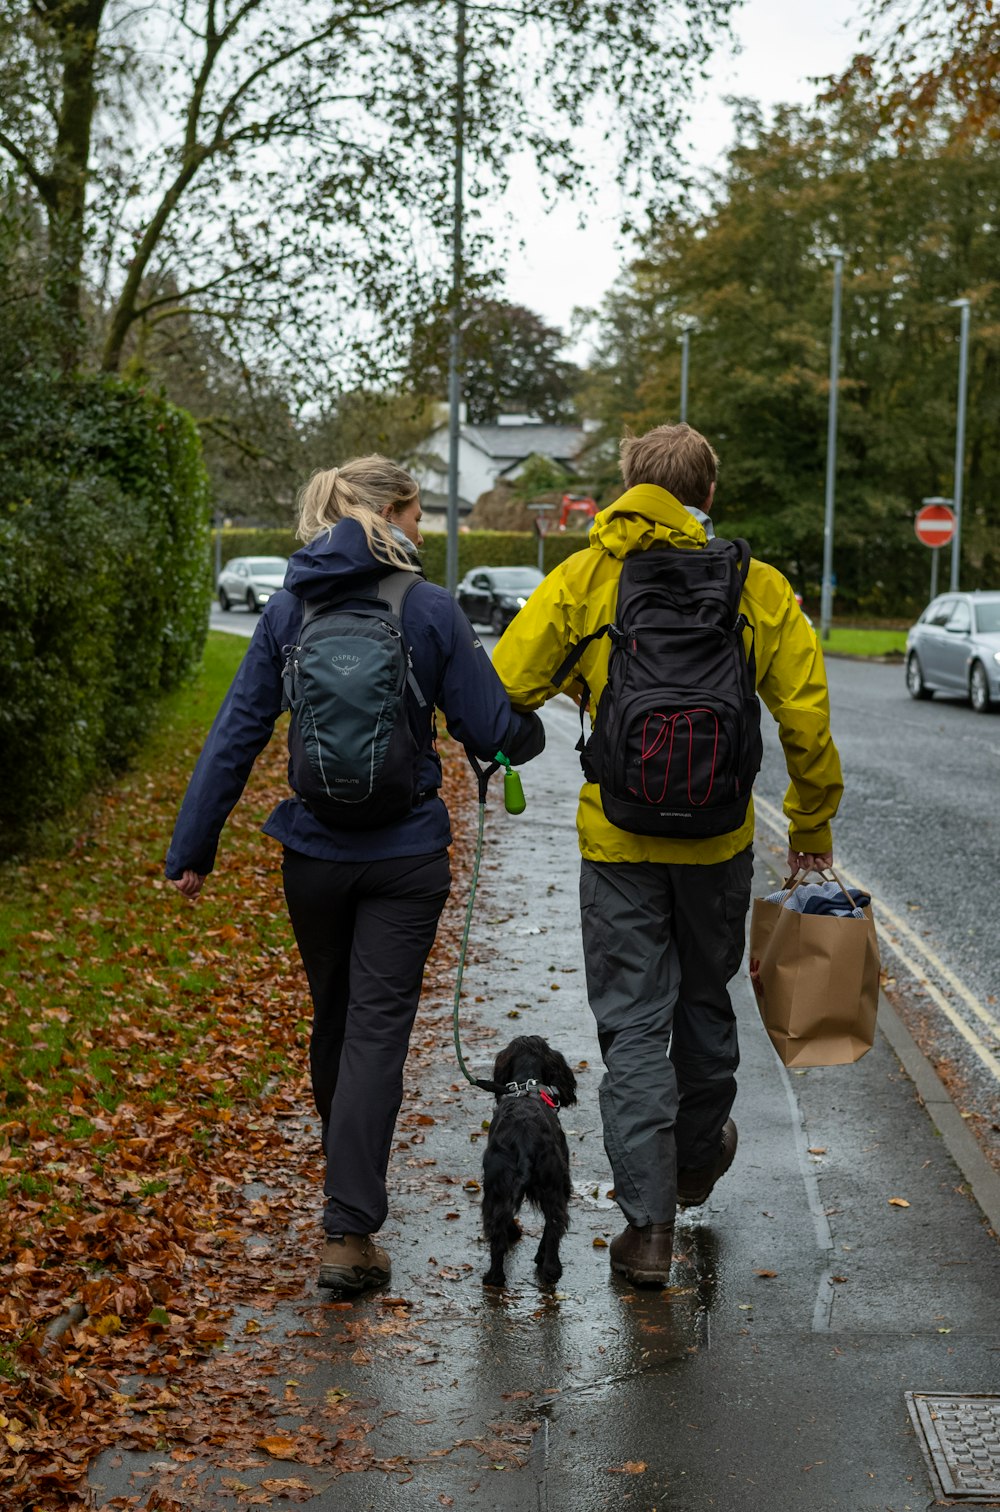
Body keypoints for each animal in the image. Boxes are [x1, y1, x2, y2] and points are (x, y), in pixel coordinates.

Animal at [481, 1034, 577, 1282]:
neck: (526, 1086)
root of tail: (524, 1142)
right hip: (553, 1184)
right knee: (554, 1225)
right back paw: (551, 1269)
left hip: (497, 1186)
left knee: (498, 1228)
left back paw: (496, 1277)